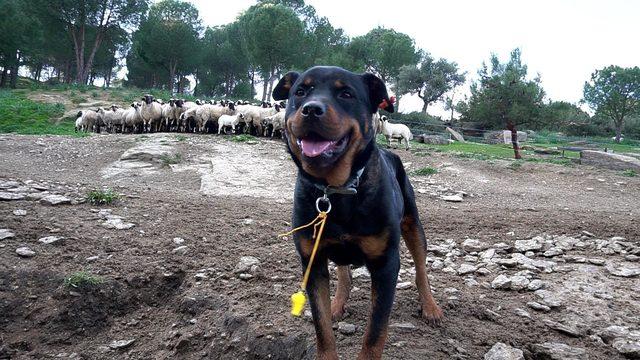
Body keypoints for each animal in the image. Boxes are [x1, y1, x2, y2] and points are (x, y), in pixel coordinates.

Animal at [272, 67, 442, 360]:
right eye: (300, 92)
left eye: (347, 94)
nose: (311, 109)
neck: (337, 189)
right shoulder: (312, 261)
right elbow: (322, 327)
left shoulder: (386, 265)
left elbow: (375, 332)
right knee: (344, 273)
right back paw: (338, 302)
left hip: (412, 223)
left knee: (421, 267)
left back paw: (430, 307)